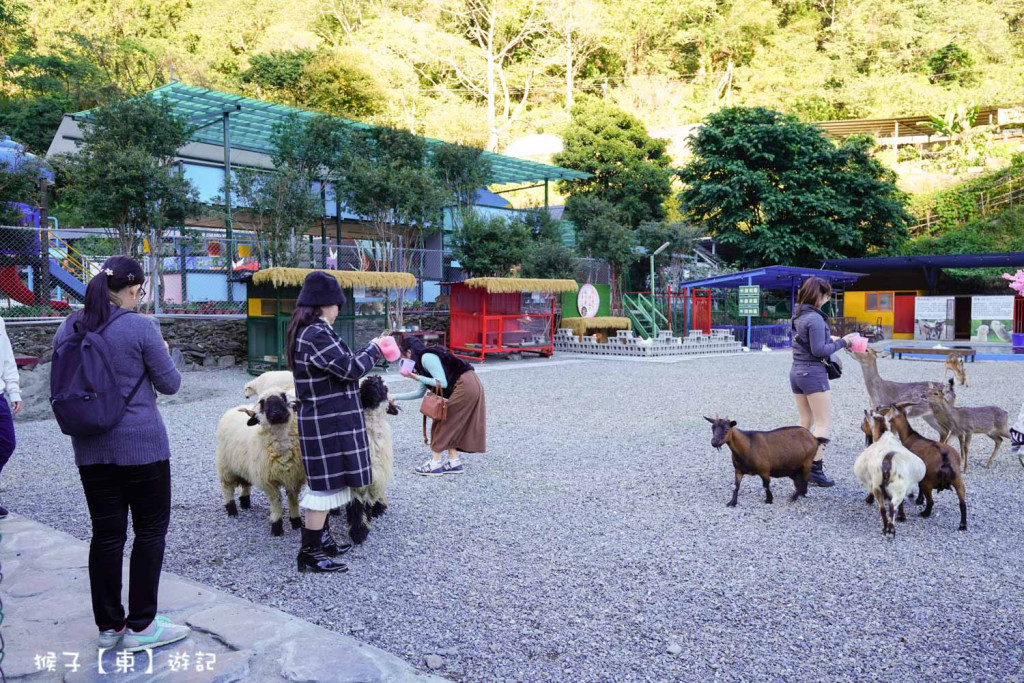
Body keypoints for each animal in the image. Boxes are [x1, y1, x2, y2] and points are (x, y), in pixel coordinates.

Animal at [217, 393, 305, 536]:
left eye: (284, 397)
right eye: (262, 402)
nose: (276, 411)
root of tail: (233, 409)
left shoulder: (294, 477)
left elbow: (293, 499)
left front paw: (296, 522)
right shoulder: (268, 481)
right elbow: (276, 501)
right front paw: (276, 527)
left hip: (246, 466)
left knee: (246, 483)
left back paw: (245, 502)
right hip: (226, 466)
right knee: (227, 487)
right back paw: (232, 510)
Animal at [884, 403, 962, 532]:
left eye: (889, 411)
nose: (884, 417)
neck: (910, 436)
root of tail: (945, 460)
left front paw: (919, 500)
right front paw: (920, 500)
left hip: (929, 481)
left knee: (931, 501)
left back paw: (925, 514)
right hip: (957, 479)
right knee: (962, 502)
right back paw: (962, 525)